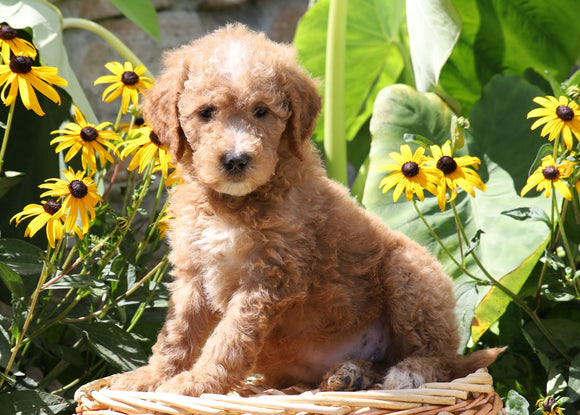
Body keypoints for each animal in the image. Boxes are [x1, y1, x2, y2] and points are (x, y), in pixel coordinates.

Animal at [111, 24, 500, 398]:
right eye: (206, 113)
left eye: (261, 111)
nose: (236, 160)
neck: (233, 205)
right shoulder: (194, 272)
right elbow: (177, 333)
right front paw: (151, 377)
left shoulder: (269, 277)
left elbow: (229, 339)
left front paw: (196, 383)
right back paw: (350, 375)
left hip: (408, 273)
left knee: (440, 356)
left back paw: (410, 373)